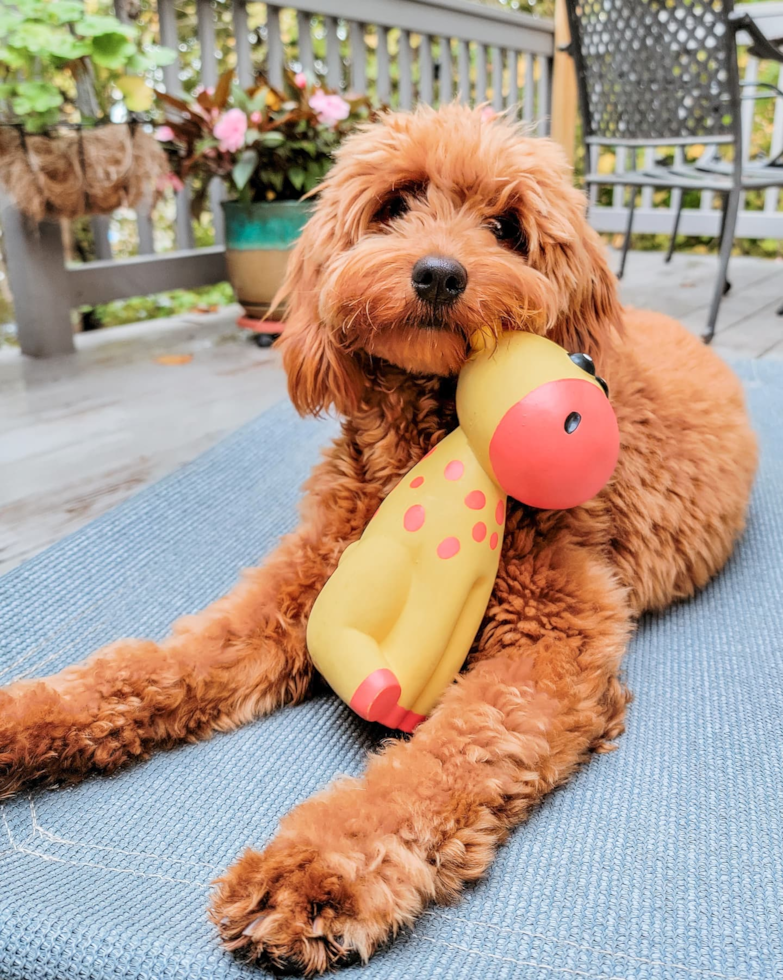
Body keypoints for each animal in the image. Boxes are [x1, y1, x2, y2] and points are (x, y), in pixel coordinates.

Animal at [0, 103, 760, 976]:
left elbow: (440, 760)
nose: (437, 274)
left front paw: (316, 873)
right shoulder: (297, 587)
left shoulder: (551, 643)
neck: (418, 439)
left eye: (507, 228)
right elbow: (157, 665)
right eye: (395, 204)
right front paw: (26, 719)